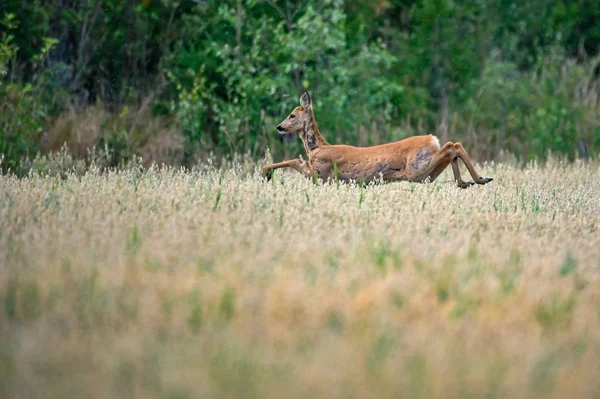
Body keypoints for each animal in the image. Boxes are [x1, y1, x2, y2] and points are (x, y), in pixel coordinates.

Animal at [262, 92, 492, 189]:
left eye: (292, 115)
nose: (279, 127)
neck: (317, 148)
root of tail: (431, 138)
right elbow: (295, 160)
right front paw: (266, 172)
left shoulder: (321, 174)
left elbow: (293, 161)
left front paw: (265, 173)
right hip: (426, 173)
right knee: (452, 147)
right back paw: (467, 182)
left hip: (417, 167)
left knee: (453, 145)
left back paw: (480, 179)